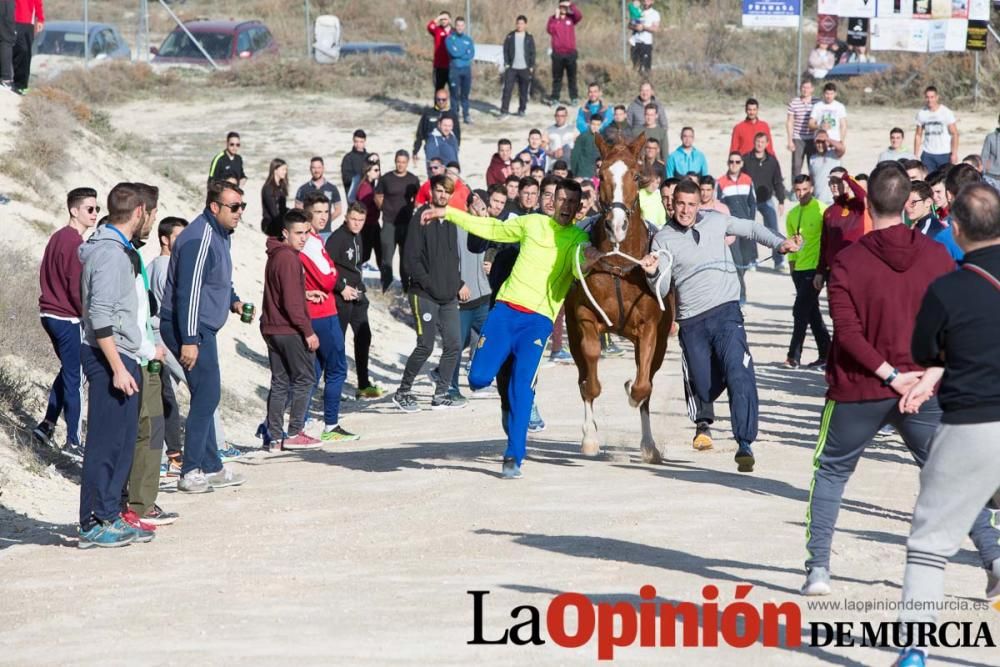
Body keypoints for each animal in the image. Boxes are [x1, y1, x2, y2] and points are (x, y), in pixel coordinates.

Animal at [568, 132, 676, 464]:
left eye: (637, 176)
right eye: (601, 174)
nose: (616, 225)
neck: (618, 263)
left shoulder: (651, 328)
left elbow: (642, 385)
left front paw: (631, 388)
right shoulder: (584, 318)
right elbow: (590, 376)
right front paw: (590, 438)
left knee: (647, 380)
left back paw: (649, 444)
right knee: (583, 374)